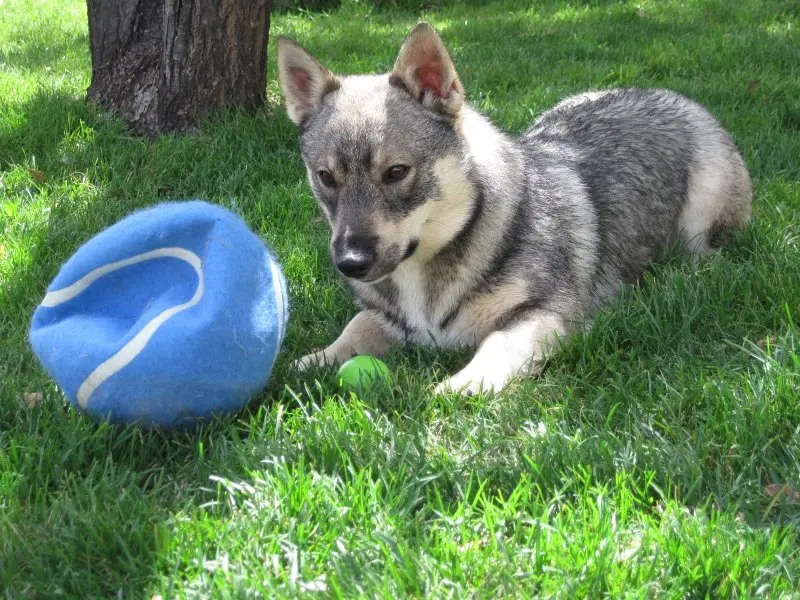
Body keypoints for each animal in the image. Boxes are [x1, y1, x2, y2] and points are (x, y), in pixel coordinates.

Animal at [278, 22, 752, 394]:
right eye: (326, 177)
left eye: (396, 172)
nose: (350, 262)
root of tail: (674, 95)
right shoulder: (384, 318)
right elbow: (355, 327)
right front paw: (311, 361)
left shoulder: (548, 314)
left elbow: (499, 343)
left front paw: (466, 383)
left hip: (700, 218)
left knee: (707, 254)